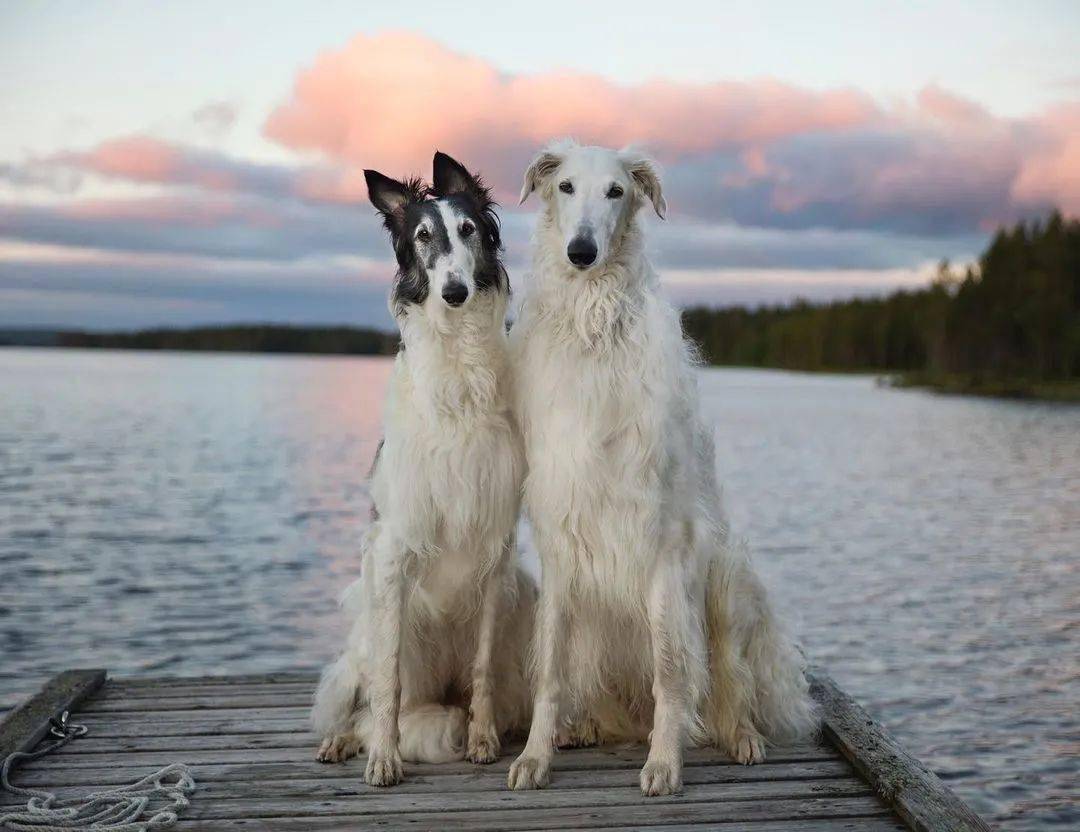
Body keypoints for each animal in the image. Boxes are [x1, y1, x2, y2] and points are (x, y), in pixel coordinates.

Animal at [311, 151, 533, 786]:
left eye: (468, 230)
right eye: (423, 237)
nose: (455, 291)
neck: (458, 373)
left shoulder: (496, 552)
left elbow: (483, 672)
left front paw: (483, 740)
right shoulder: (394, 547)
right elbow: (386, 686)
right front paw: (384, 759)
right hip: (370, 623)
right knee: (364, 701)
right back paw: (343, 741)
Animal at [509, 139, 812, 795]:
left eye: (616, 191)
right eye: (565, 187)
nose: (581, 253)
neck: (595, 329)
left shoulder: (665, 546)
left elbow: (672, 671)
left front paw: (664, 762)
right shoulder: (561, 543)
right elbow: (549, 671)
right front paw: (535, 756)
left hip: (727, 582)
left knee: (729, 685)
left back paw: (741, 737)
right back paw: (585, 727)